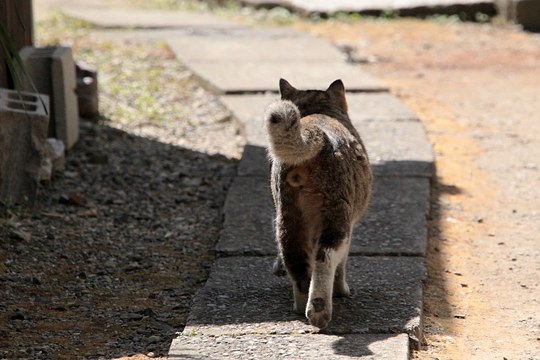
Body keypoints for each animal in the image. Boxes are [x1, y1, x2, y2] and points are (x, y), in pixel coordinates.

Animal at [264, 79, 372, 330]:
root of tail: (317, 133)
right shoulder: (349, 226)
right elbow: (342, 265)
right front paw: (342, 291)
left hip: (288, 220)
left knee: (297, 262)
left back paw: (300, 307)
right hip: (337, 217)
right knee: (325, 258)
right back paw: (319, 311)